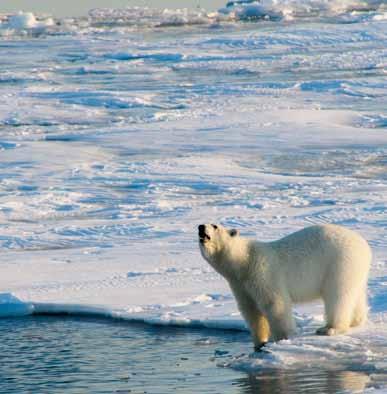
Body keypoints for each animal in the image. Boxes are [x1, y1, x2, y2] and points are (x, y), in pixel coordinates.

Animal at [200, 223, 372, 350]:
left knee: (337, 294)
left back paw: (330, 328)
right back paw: (356, 321)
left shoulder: (262, 273)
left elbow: (274, 304)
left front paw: (282, 338)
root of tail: (364, 246)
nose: (200, 227)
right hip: (355, 270)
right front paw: (259, 342)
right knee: (356, 293)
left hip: (339, 262)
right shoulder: (240, 284)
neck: (243, 261)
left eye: (214, 225)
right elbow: (251, 310)